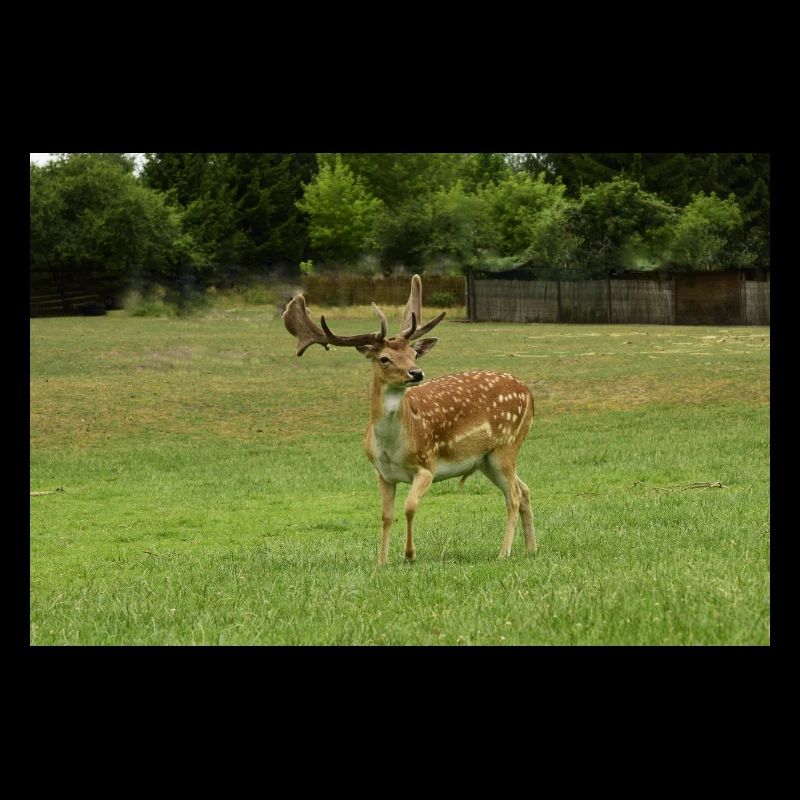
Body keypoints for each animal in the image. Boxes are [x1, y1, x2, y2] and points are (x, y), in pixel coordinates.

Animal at [282, 274, 536, 565]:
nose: (417, 373)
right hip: (486, 459)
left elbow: (410, 506)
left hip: (507, 445)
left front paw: (409, 553)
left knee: (513, 496)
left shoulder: (427, 465)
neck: (394, 446)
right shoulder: (383, 474)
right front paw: (381, 561)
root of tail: (529, 394)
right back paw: (531, 548)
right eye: (384, 358)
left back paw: (504, 552)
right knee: (524, 490)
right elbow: (385, 515)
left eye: (413, 354)